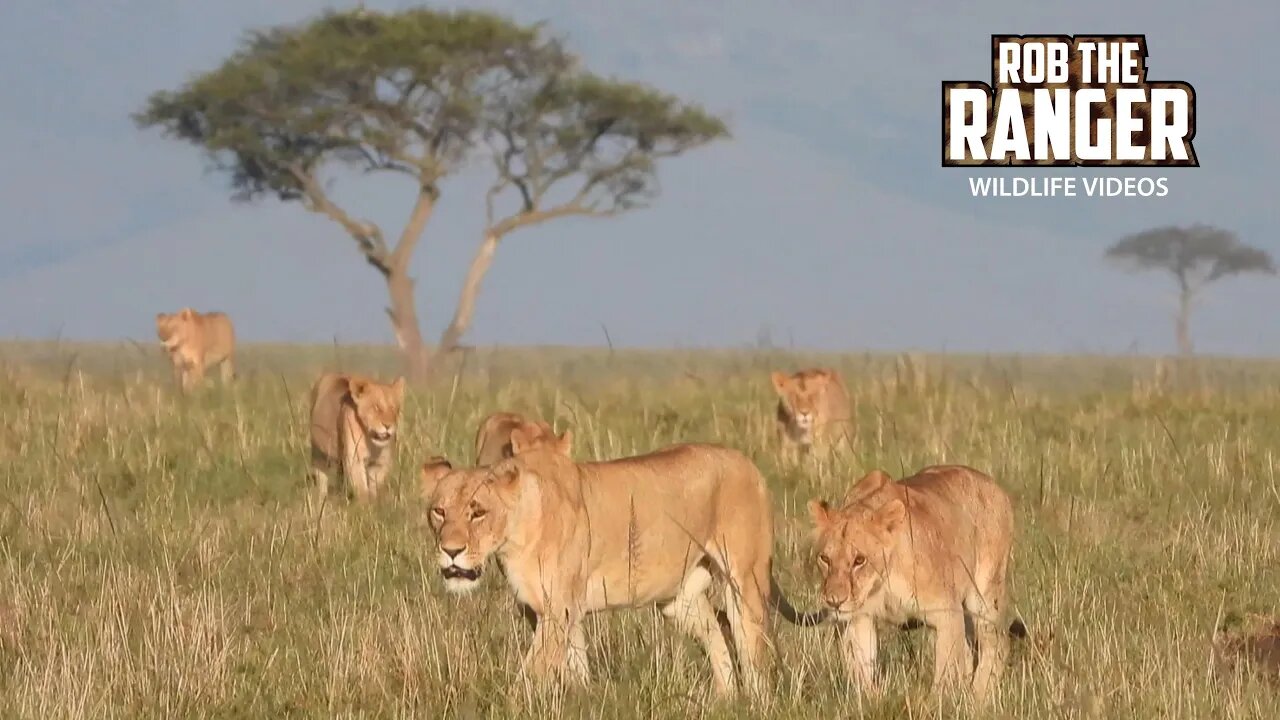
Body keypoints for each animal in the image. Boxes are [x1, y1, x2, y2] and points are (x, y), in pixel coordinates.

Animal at [305, 371, 401, 502]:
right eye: (376, 407)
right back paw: (322, 499)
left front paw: (374, 502)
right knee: (322, 477)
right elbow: (361, 488)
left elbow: (375, 486)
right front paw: (365, 505)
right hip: (318, 454)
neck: (371, 442)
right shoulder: (355, 460)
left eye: (394, 408)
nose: (388, 425)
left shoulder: (381, 462)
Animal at [808, 461, 1018, 696]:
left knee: (997, 643)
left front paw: (938, 701)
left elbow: (945, 674)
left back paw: (977, 697)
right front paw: (870, 698)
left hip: (985, 594)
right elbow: (861, 671)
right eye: (825, 559)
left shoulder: (947, 613)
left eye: (859, 560)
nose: (834, 601)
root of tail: (993, 485)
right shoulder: (858, 619)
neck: (881, 583)